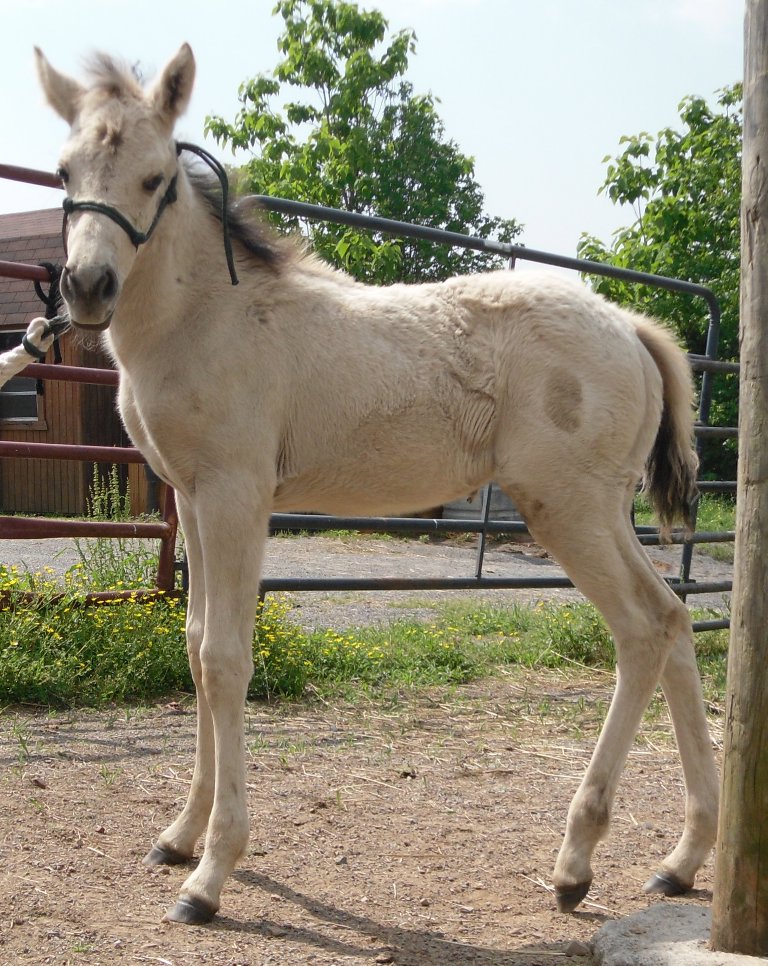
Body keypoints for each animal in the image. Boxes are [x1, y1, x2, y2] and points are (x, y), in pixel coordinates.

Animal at [34, 43, 720, 924]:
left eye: (156, 179)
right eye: (63, 170)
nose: (87, 287)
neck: (206, 318)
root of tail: (632, 327)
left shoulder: (235, 496)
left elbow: (225, 659)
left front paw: (210, 875)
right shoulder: (189, 494)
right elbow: (193, 645)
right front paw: (179, 836)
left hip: (564, 507)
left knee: (641, 629)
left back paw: (575, 863)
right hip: (598, 509)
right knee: (673, 619)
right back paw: (681, 860)